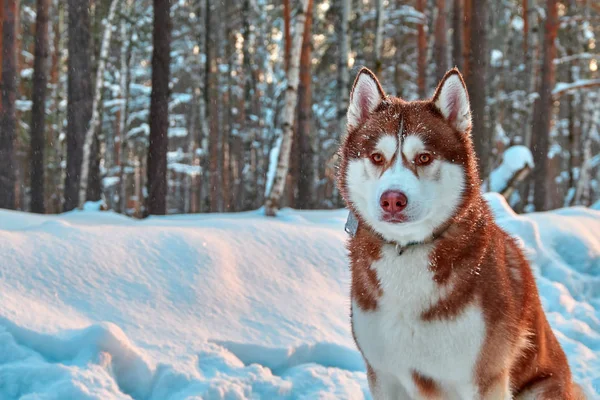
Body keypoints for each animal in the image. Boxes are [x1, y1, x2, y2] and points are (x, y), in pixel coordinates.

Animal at [336, 67, 584, 398]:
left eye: (424, 157)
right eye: (377, 157)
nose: (392, 200)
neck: (407, 252)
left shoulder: (484, 378)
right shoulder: (383, 374)